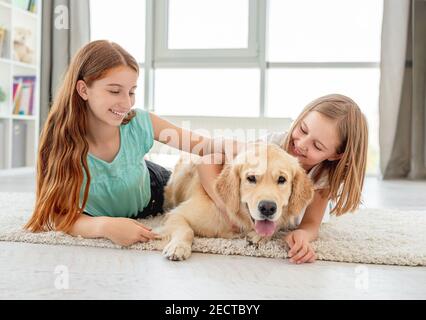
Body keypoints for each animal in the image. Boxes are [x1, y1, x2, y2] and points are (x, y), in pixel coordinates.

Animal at [160, 142, 312, 260]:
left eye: (282, 179)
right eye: (251, 178)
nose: (268, 208)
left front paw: (260, 236)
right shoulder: (176, 214)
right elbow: (186, 230)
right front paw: (178, 247)